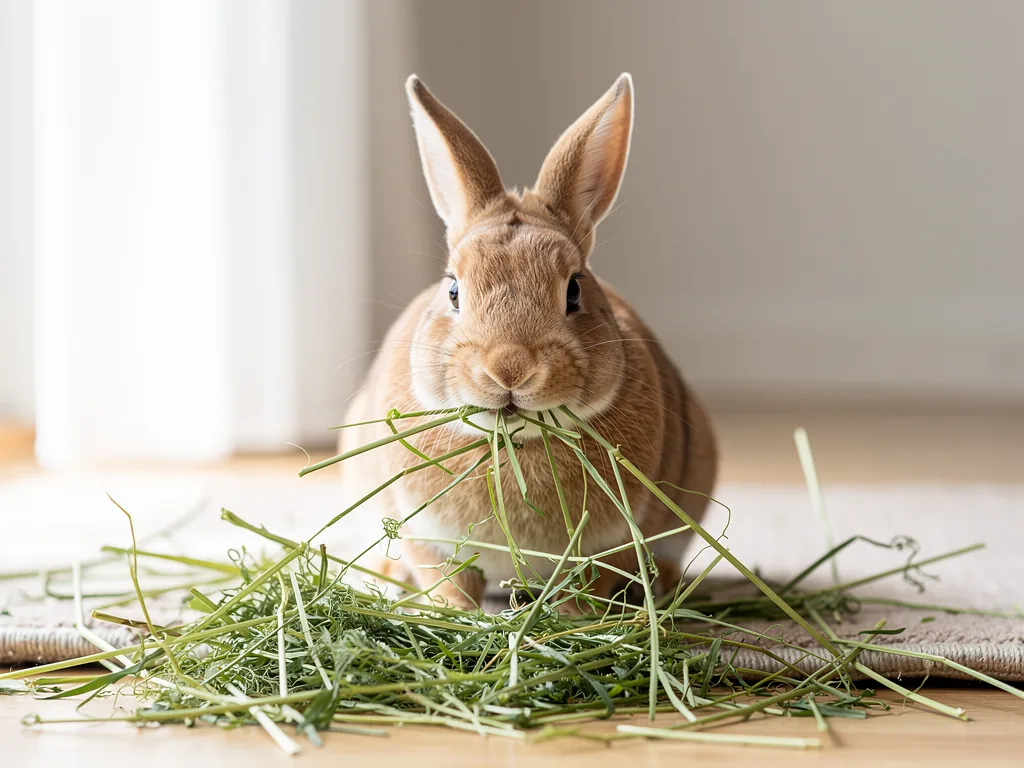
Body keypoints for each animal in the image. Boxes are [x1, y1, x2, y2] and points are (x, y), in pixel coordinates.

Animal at [336, 73, 717, 611]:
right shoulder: (427, 538)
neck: (514, 443)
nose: (510, 369)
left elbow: (588, 588)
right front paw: (451, 612)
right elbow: (447, 583)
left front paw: (577, 615)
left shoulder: (616, 543)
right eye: (453, 290)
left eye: (574, 290)